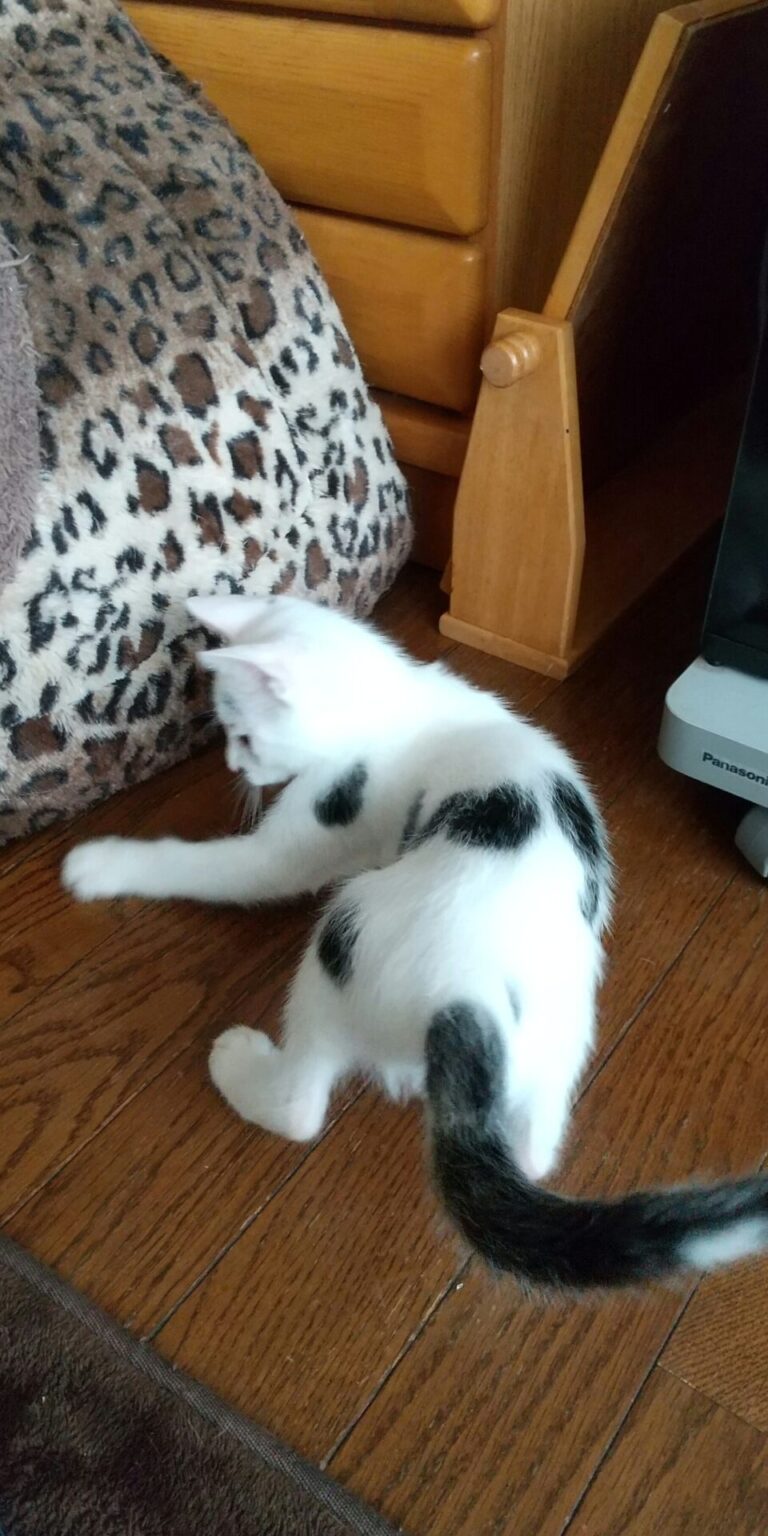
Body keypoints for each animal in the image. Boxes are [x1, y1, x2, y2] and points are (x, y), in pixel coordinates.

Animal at [62, 592, 768, 1290]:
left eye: (242, 734)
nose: (236, 766)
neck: (392, 694)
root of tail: (470, 1001)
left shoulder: (317, 823)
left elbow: (228, 868)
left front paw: (101, 865)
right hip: (568, 1024)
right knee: (534, 1150)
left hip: (343, 935)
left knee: (300, 1106)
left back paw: (241, 1066)